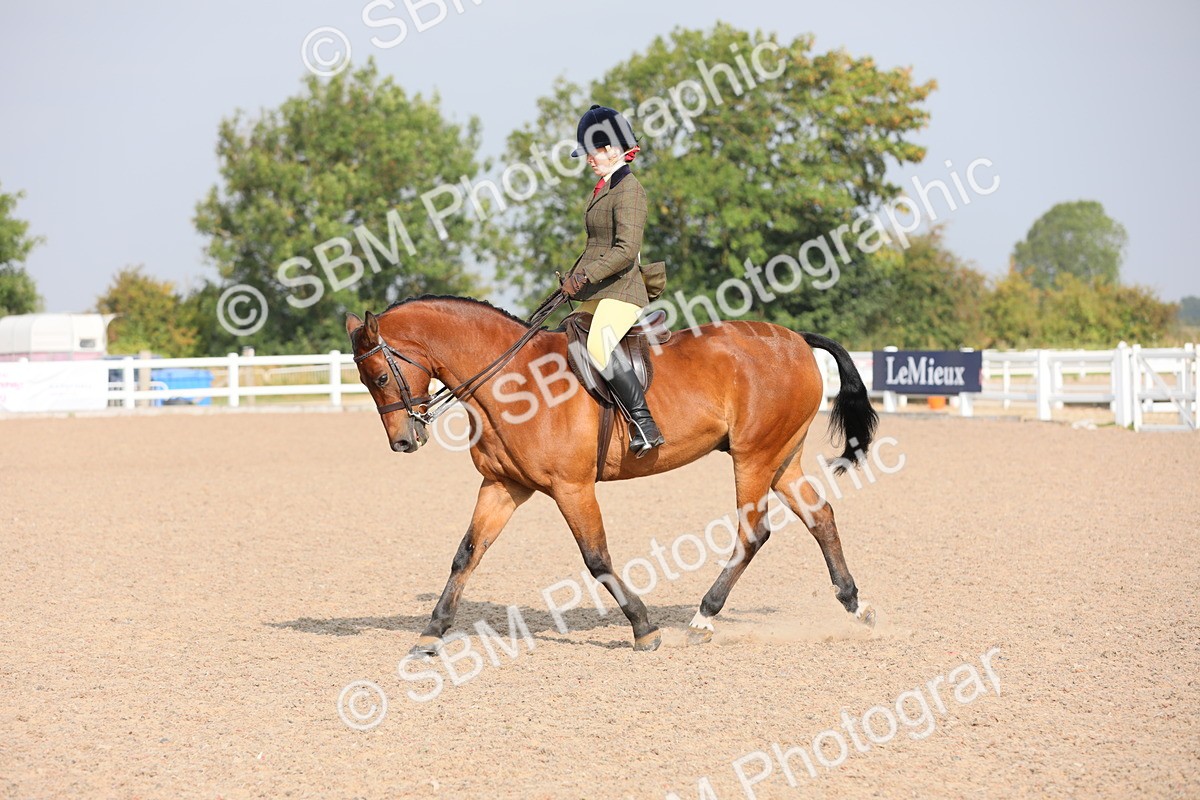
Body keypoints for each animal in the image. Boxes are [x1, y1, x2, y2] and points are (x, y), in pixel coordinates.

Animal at [345, 294, 879, 655]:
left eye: (380, 377)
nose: (403, 442)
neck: (512, 381)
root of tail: (795, 339)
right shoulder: (503, 485)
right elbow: (466, 556)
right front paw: (431, 633)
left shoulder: (571, 487)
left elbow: (596, 558)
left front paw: (644, 628)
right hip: (781, 458)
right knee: (820, 517)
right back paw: (856, 605)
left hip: (753, 457)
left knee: (753, 531)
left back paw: (703, 617)